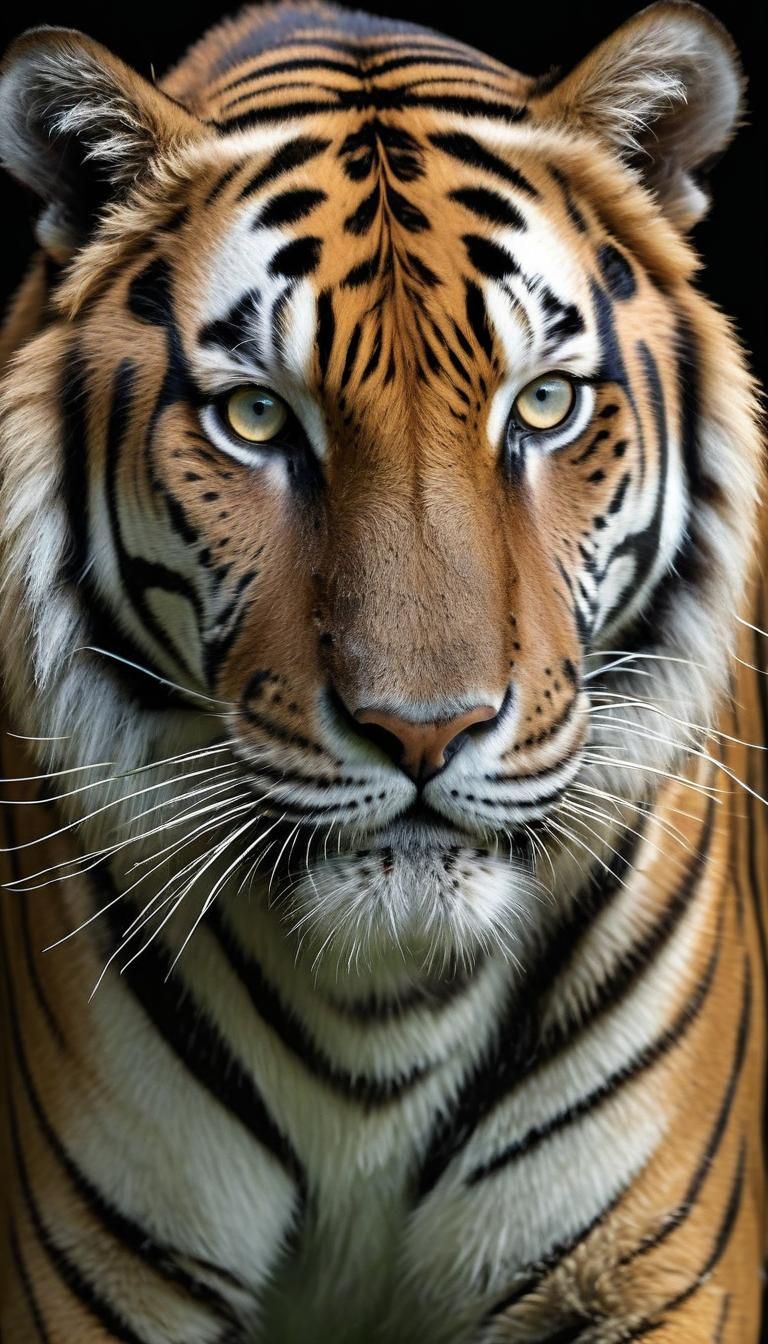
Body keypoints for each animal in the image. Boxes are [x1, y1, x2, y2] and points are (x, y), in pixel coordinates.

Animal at [0, 0, 765, 1340]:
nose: (423, 732)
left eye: (545, 405)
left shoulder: (649, 1272)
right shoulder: (91, 1278)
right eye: (256, 418)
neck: (384, 1010)